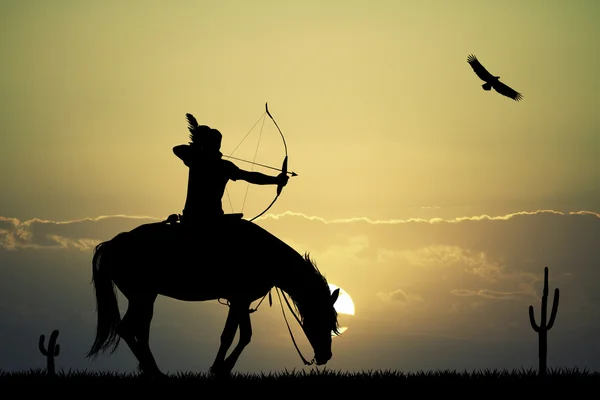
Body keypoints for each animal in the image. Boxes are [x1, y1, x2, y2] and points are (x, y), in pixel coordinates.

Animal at [84, 212, 342, 378]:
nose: (325, 356)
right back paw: (155, 371)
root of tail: (114, 244)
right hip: (142, 297)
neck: (266, 256)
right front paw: (220, 368)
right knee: (128, 329)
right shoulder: (239, 300)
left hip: (144, 298)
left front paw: (221, 368)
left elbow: (239, 335)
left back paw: (150, 369)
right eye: (321, 321)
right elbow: (235, 336)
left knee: (138, 331)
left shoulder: (240, 301)